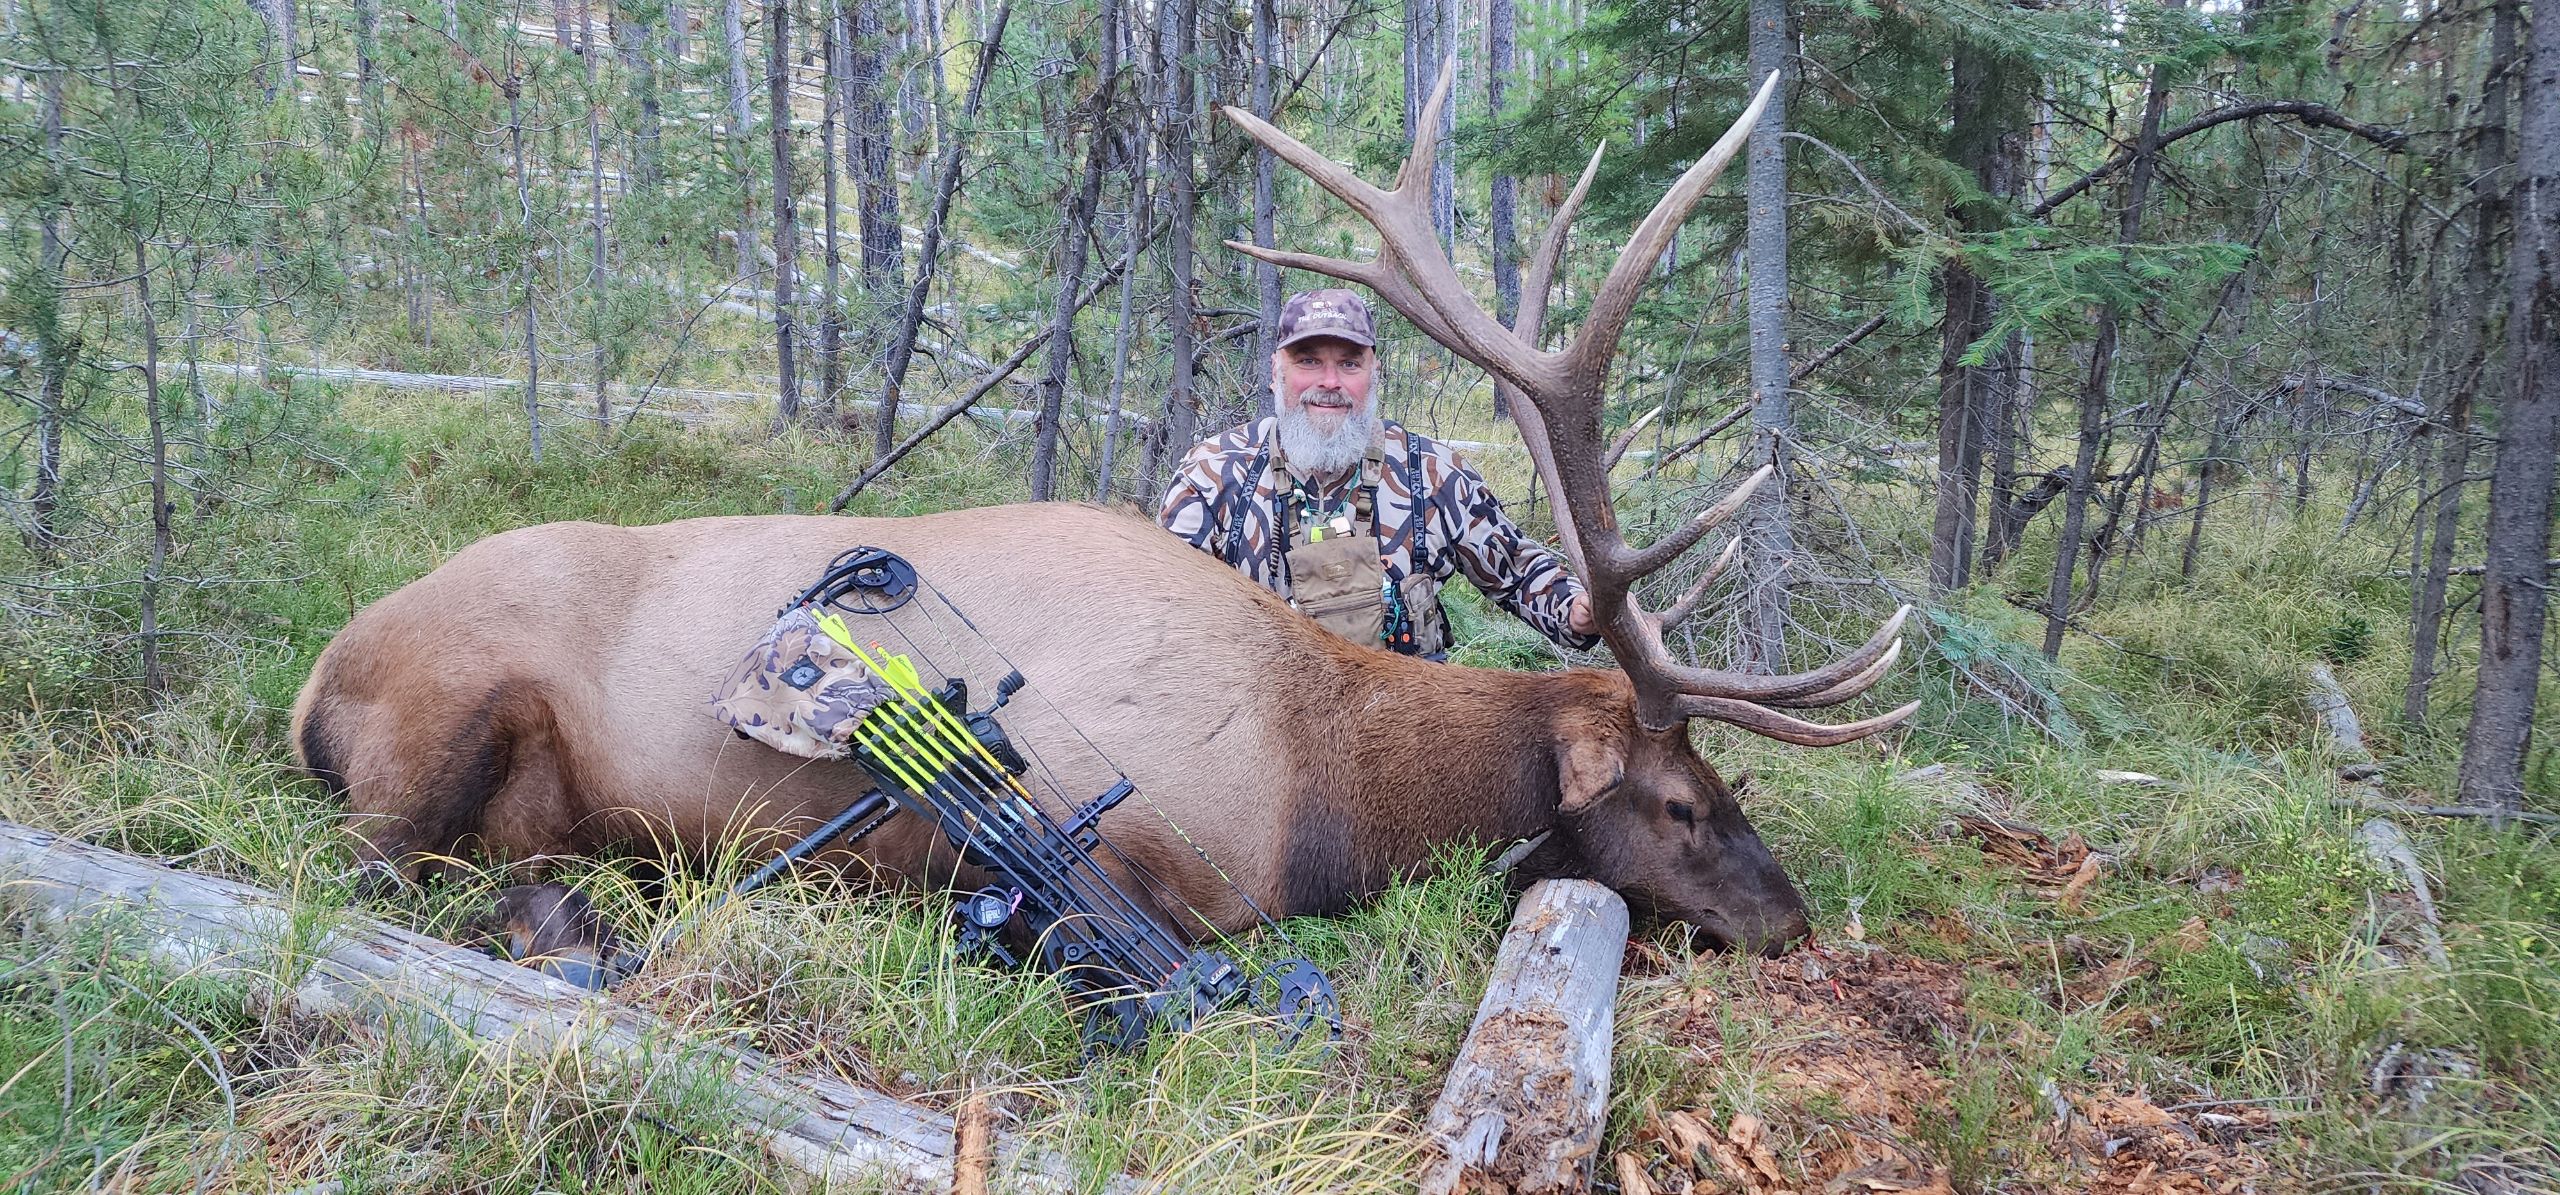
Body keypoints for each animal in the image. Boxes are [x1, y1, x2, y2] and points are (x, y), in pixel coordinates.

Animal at [290, 65, 1914, 962]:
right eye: (1687, 801)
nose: (1794, 916)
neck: (1333, 788)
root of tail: (316, 677)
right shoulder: (1139, 860)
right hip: (443, 714)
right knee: (369, 872)